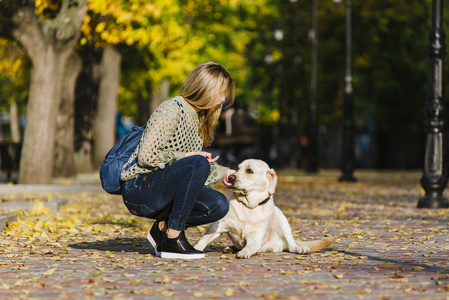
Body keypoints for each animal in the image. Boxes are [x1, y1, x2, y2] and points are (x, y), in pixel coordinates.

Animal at [195, 158, 332, 258]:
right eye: (237, 168)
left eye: (249, 171)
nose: (231, 177)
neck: (248, 206)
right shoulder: (217, 226)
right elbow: (204, 239)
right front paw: (195, 249)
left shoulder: (255, 239)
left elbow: (249, 247)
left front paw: (244, 253)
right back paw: (230, 248)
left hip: (281, 219)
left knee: (292, 244)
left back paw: (301, 248)